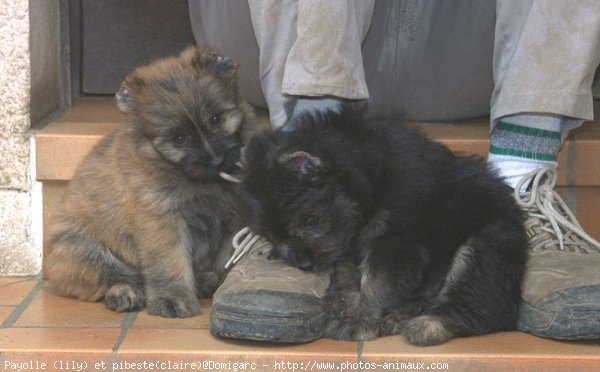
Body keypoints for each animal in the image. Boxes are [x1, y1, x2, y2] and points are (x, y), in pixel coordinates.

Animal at [44, 47, 255, 316]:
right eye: (178, 139)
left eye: (217, 119)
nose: (217, 160)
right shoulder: (162, 219)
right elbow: (170, 261)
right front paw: (173, 298)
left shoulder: (234, 217)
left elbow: (228, 255)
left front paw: (224, 282)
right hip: (79, 248)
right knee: (111, 277)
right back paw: (125, 293)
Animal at [241, 107, 528, 346]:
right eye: (272, 238)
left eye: (309, 220)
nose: (304, 264)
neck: (372, 177)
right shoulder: (350, 241)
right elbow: (349, 274)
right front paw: (345, 301)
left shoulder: (396, 242)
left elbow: (376, 283)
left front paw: (360, 320)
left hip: (488, 244)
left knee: (481, 305)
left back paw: (429, 325)